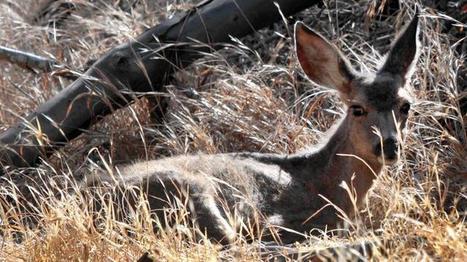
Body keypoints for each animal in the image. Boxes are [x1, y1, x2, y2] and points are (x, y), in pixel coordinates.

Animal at [86, 13, 422, 245]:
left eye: (405, 106)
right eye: (357, 108)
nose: (389, 145)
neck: (326, 183)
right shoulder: (287, 220)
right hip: (190, 192)